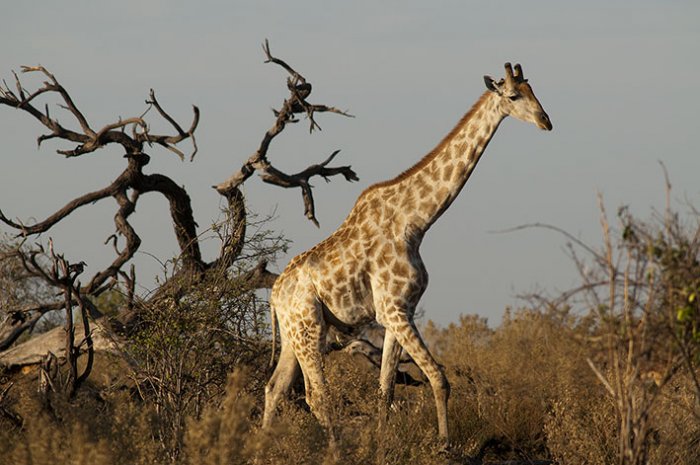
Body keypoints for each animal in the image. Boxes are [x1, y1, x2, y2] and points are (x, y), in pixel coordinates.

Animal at [262, 61, 552, 446]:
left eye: (534, 91)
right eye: (513, 95)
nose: (546, 121)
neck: (415, 222)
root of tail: (275, 295)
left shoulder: (399, 312)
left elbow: (385, 389)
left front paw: (383, 445)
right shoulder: (394, 308)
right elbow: (439, 379)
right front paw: (444, 444)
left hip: (294, 334)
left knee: (275, 387)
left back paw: (258, 448)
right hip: (309, 326)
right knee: (316, 395)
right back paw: (334, 450)